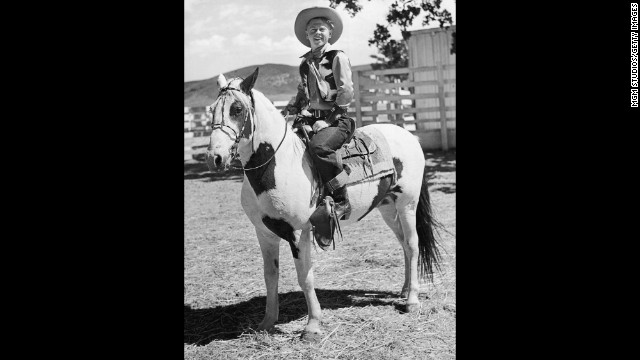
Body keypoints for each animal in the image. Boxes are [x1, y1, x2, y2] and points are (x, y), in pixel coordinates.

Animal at [204, 67, 440, 340]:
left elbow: (305, 277)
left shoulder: (298, 233)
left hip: (407, 204)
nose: (215, 158)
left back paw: (412, 300)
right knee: (403, 243)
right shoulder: (264, 233)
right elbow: (270, 276)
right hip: (388, 207)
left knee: (412, 245)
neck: (279, 164)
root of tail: (409, 136)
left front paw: (313, 325)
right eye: (212, 109)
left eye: (237, 109)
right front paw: (267, 322)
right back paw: (403, 289)